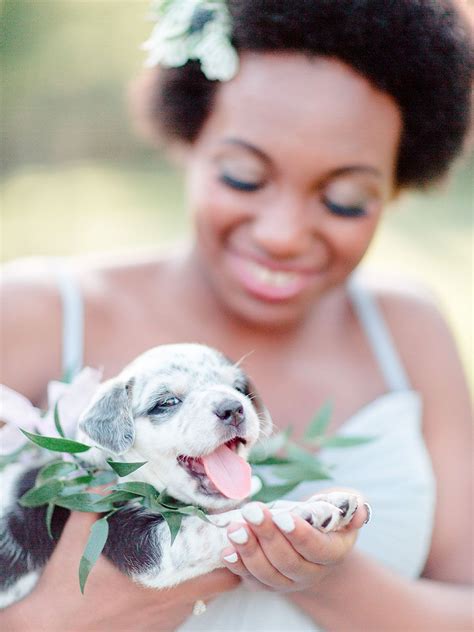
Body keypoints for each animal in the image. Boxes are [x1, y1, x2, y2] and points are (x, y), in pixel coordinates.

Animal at [0, 344, 356, 608]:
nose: (232, 408)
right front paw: (304, 511)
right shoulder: (138, 538)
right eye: (167, 402)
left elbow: (243, 509)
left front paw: (326, 500)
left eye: (239, 389)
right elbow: (217, 525)